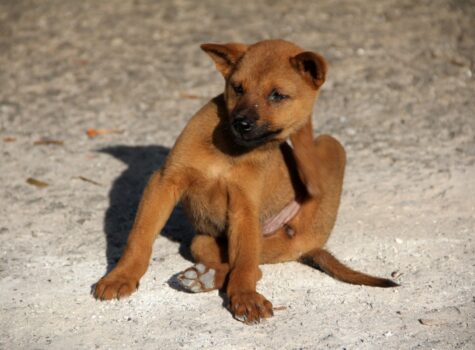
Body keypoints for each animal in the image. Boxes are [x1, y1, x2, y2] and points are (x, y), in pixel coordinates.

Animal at [94, 39, 398, 324]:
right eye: (237, 88)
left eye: (277, 95)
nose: (241, 123)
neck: (230, 150)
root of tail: (311, 245)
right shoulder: (164, 181)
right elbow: (140, 237)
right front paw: (121, 276)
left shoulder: (244, 207)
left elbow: (244, 265)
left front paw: (245, 297)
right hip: (203, 241)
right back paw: (202, 276)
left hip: (327, 150)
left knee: (254, 266)